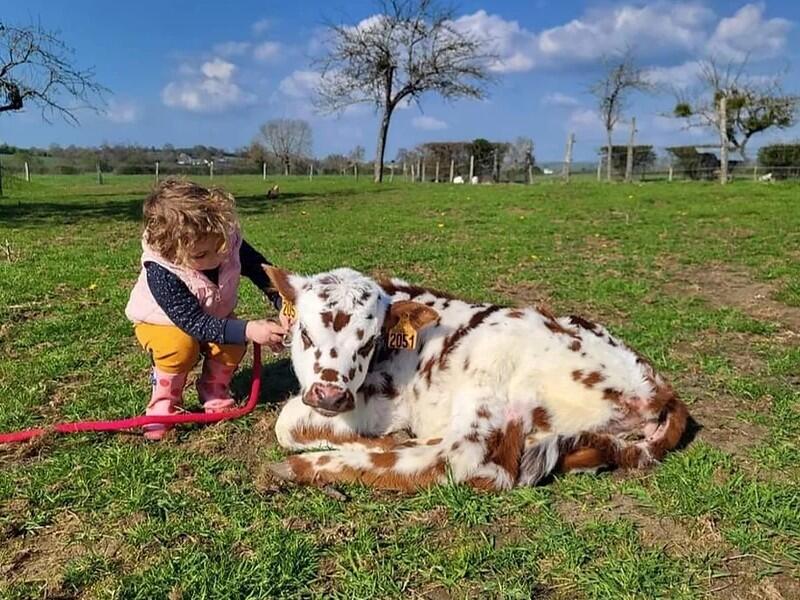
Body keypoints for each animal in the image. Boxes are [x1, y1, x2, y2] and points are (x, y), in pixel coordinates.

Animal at [264, 268, 688, 492]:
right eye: (305, 333)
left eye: (367, 341)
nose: (330, 396)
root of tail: (660, 389)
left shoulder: (383, 402)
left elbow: (287, 420)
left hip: (492, 371)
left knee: (461, 462)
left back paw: (304, 466)